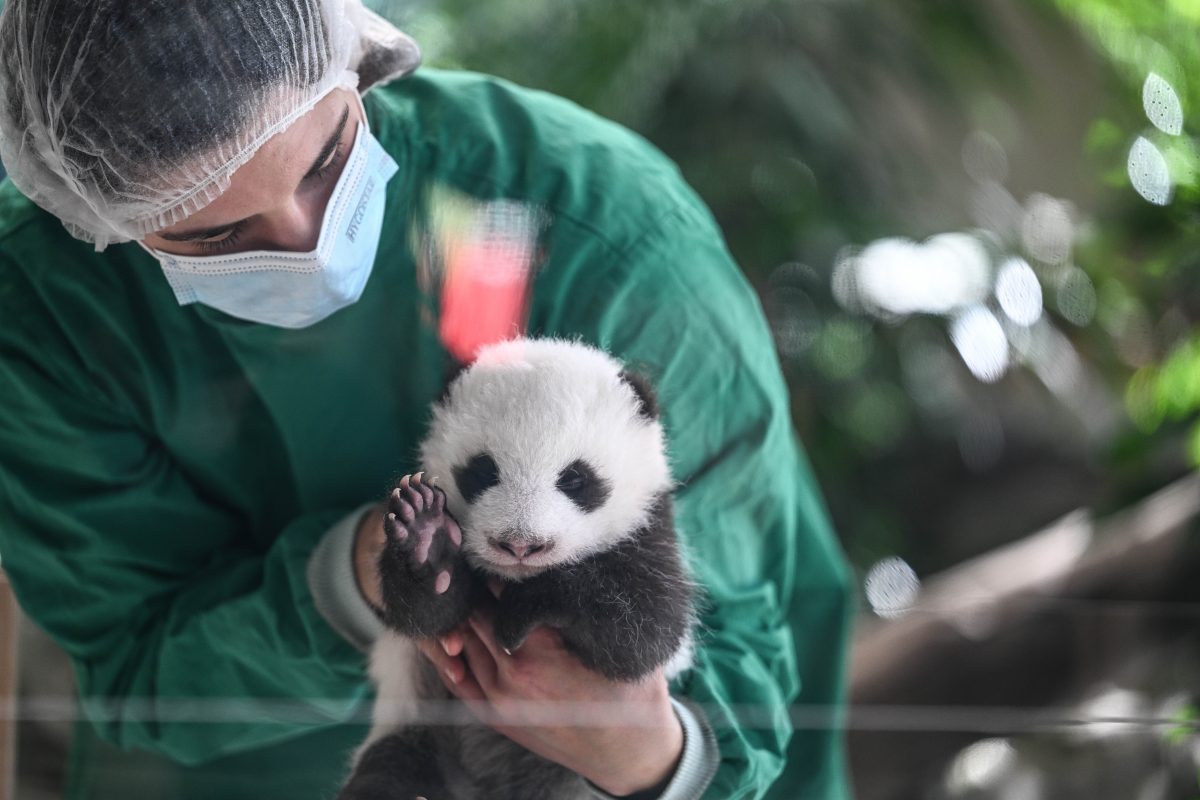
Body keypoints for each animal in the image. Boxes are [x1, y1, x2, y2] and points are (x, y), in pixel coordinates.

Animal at [338, 338, 696, 800]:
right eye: (483, 470)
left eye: (575, 478)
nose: (521, 544)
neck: (513, 577)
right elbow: (429, 616)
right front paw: (428, 541)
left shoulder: (650, 529)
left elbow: (644, 632)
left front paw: (525, 611)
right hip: (421, 715)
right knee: (392, 761)